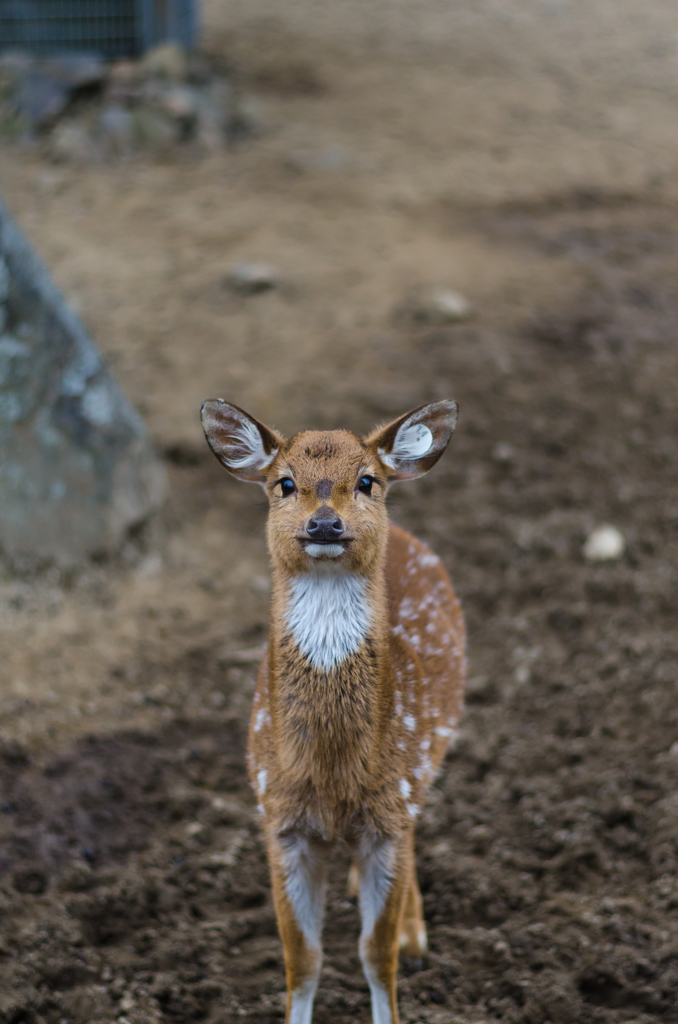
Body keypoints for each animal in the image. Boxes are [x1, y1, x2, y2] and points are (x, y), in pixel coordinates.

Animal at [200, 397, 467, 1024]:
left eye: (367, 480)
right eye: (284, 482)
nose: (324, 523)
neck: (333, 773)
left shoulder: (388, 815)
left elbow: (375, 954)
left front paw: (400, 950)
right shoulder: (279, 820)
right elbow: (303, 958)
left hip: (422, 770)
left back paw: (415, 937)